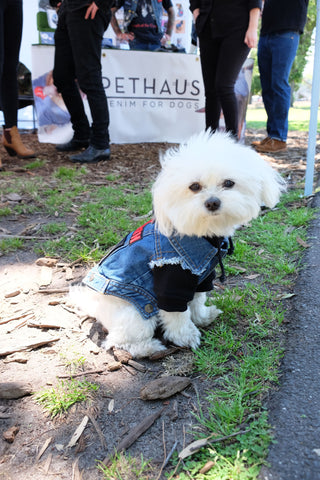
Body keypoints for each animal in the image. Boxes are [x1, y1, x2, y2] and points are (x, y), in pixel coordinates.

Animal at [71, 130, 286, 356]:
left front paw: (202, 317)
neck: (203, 234)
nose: (212, 202)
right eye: (194, 187)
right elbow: (177, 313)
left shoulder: (202, 277)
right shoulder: (171, 279)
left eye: (229, 183)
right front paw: (186, 336)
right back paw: (150, 348)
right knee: (120, 341)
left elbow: (198, 300)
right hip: (136, 314)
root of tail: (97, 307)